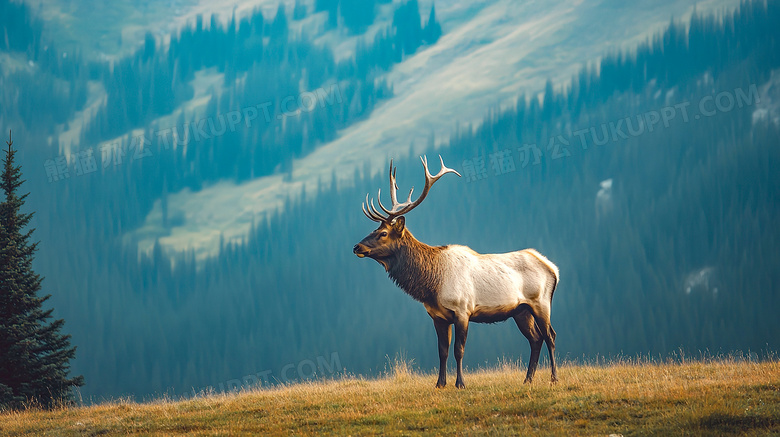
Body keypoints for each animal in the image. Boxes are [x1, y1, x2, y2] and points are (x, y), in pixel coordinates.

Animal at [354, 155, 560, 386]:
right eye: (374, 229)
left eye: (383, 233)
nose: (357, 247)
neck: (432, 285)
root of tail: (553, 269)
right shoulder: (437, 316)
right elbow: (442, 351)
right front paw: (440, 383)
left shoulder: (463, 309)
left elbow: (458, 350)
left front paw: (460, 383)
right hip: (521, 310)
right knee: (535, 339)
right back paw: (528, 379)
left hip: (541, 301)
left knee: (550, 335)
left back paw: (553, 378)